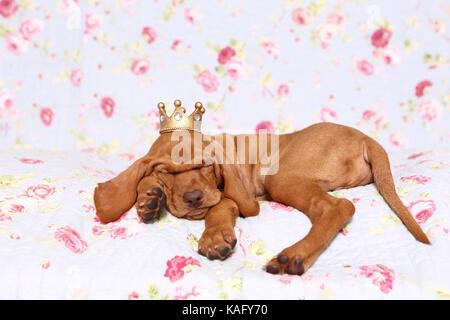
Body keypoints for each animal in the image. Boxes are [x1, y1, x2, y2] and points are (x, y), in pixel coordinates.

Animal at [94, 122, 428, 276]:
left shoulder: (232, 197)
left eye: (205, 165)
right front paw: (150, 198)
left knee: (337, 207)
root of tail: (366, 138)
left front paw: (214, 237)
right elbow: (141, 177)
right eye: (167, 171)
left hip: (280, 177)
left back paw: (294, 256)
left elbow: (219, 209)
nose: (194, 198)